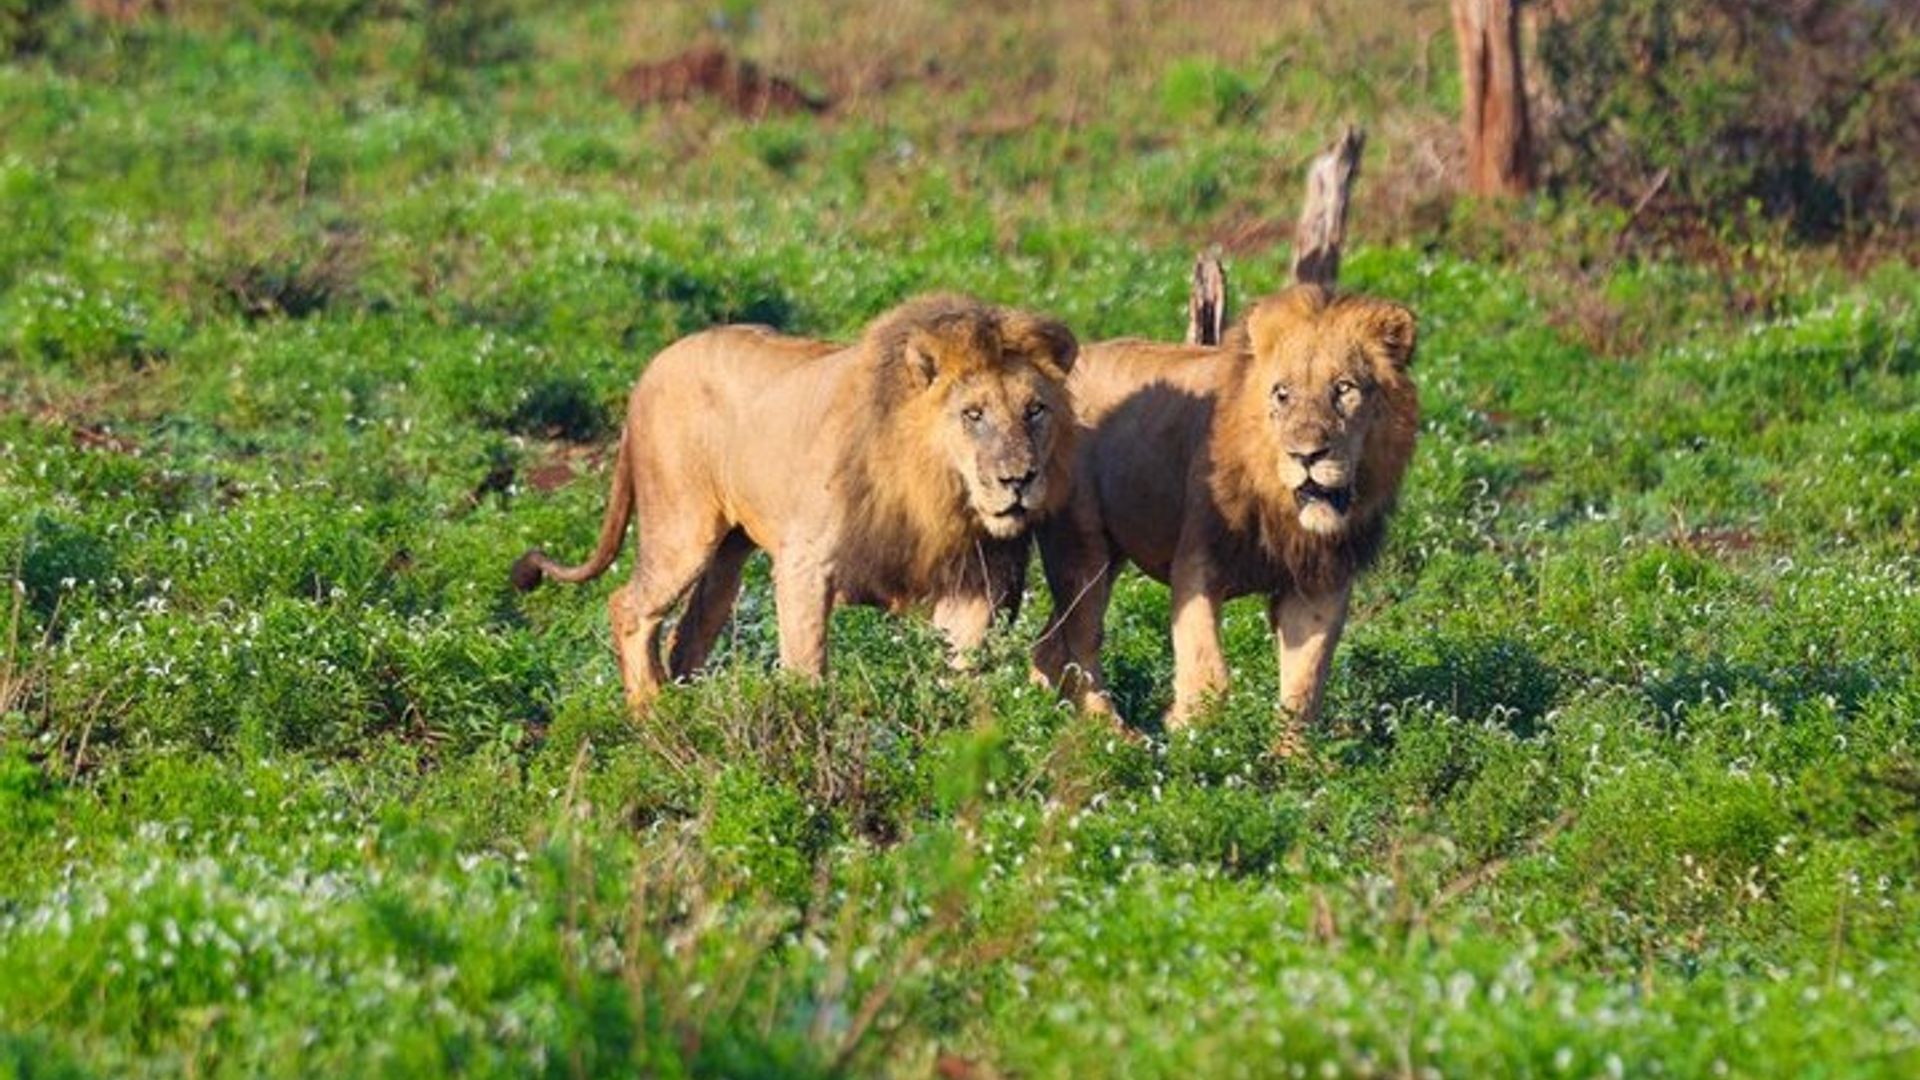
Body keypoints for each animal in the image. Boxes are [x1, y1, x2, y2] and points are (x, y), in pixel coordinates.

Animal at [512, 294, 1079, 709]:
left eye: (1035, 410)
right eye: (973, 414)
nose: (1018, 479)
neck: (935, 491)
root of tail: (650, 370)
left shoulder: (978, 580)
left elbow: (960, 670)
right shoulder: (806, 563)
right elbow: (807, 668)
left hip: (727, 552)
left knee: (690, 632)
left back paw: (690, 711)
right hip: (681, 528)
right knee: (629, 608)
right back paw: (653, 715)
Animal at [1031, 284, 1417, 747]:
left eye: (1344, 389)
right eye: (1282, 393)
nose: (1306, 455)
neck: (1281, 508)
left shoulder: (1319, 584)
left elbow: (1304, 682)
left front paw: (1292, 756)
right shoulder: (1198, 563)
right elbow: (1207, 667)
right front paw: (1191, 730)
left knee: (1048, 647)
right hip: (1081, 548)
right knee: (1082, 642)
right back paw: (1114, 735)